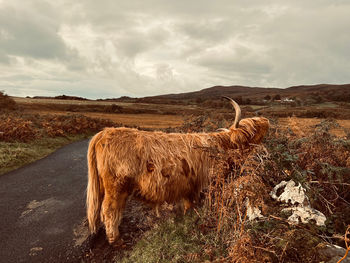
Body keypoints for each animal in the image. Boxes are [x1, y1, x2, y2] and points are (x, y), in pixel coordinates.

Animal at [86, 98, 270, 244]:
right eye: (253, 127)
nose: (266, 120)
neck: (223, 146)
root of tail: (104, 133)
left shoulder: (189, 186)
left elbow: (189, 204)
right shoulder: (208, 183)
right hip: (116, 187)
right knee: (109, 210)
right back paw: (116, 239)